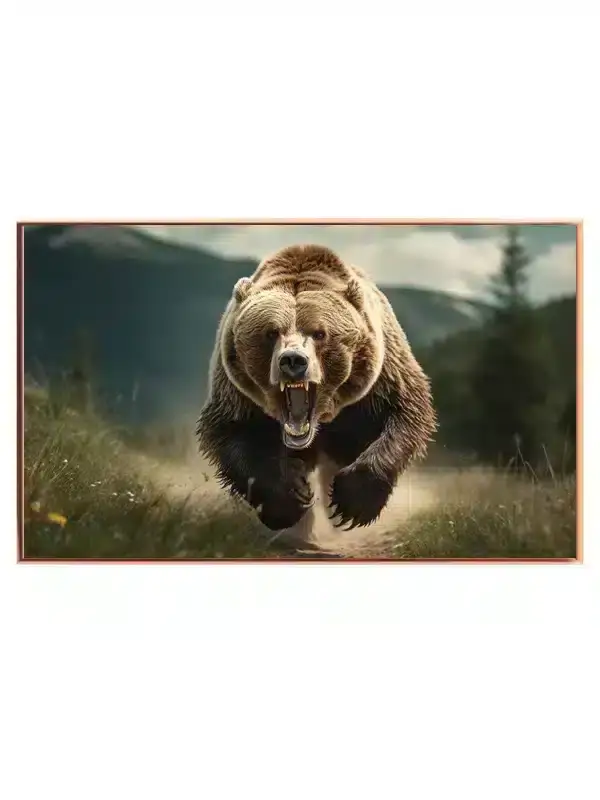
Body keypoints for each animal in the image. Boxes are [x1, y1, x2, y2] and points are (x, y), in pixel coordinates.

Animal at [196, 243, 437, 545]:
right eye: (271, 332)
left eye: (320, 333)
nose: (293, 361)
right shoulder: (237, 392)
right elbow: (233, 435)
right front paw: (289, 500)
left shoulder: (381, 381)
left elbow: (404, 415)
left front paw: (353, 503)